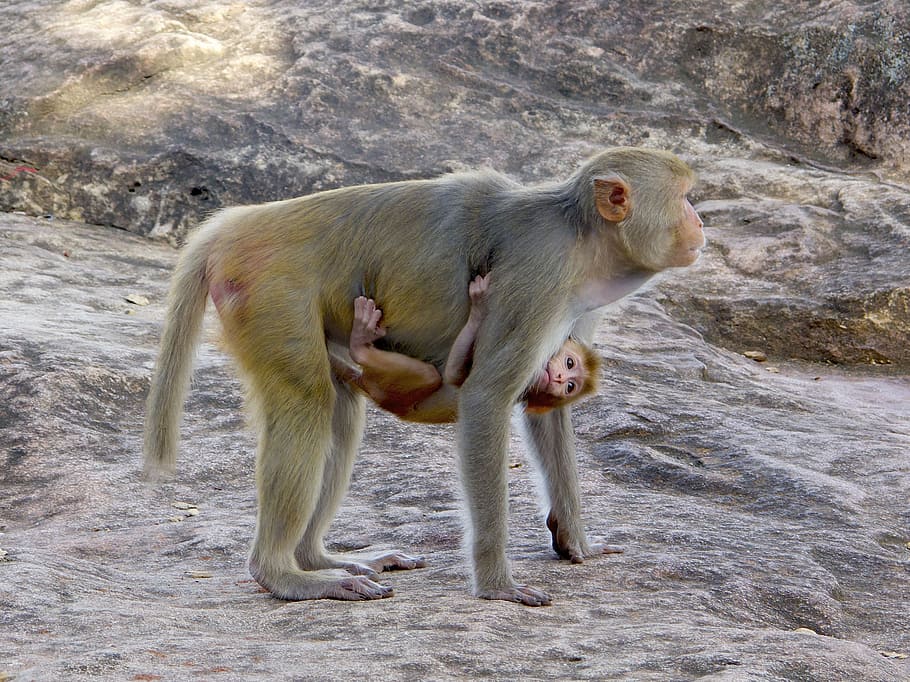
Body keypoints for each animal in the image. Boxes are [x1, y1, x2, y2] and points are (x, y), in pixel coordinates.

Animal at [143, 146, 704, 606]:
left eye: (571, 371)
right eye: (684, 197)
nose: (700, 223)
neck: (581, 238)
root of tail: (233, 225)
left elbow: (545, 414)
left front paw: (576, 542)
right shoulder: (539, 277)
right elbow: (485, 397)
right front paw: (497, 584)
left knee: (340, 413)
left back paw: (318, 558)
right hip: (267, 291)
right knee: (309, 402)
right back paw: (286, 576)